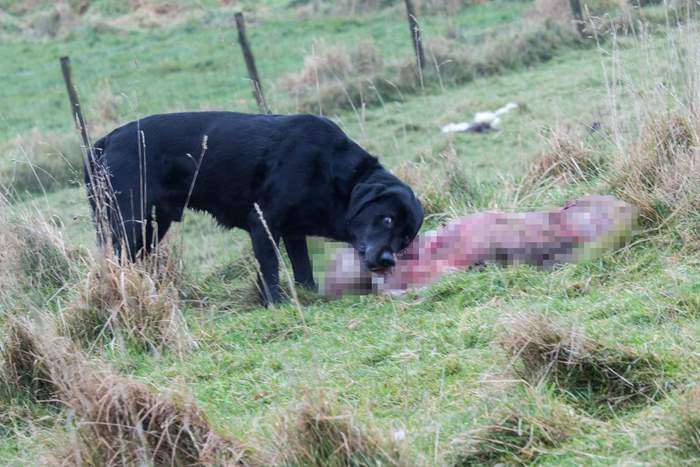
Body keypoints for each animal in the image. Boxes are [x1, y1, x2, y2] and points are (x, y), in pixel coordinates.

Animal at [89, 111, 424, 306]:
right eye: (386, 219)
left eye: (406, 237)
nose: (387, 260)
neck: (329, 169)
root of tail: (104, 142)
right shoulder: (264, 223)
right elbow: (271, 269)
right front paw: (276, 303)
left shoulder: (293, 231)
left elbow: (303, 268)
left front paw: (308, 294)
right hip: (128, 224)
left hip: (151, 228)